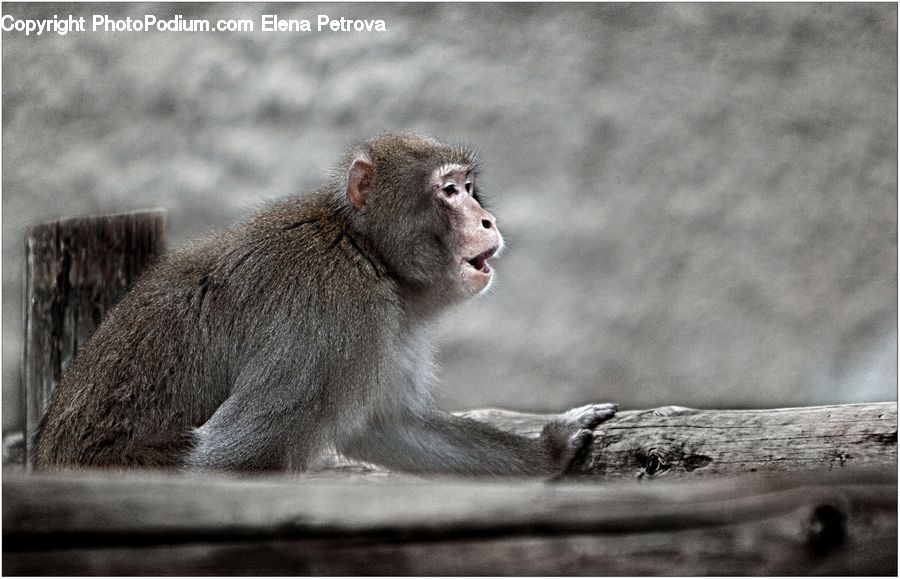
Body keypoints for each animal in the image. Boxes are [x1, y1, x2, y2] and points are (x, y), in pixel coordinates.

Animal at [32, 133, 617, 475]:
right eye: (449, 191)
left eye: (470, 187)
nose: (487, 219)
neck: (364, 250)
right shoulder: (330, 316)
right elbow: (231, 460)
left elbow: (384, 426)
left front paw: (548, 451)